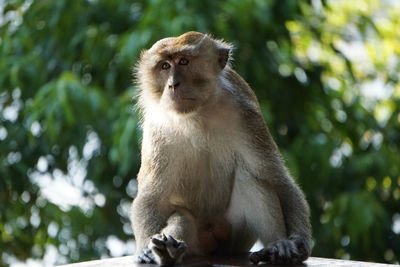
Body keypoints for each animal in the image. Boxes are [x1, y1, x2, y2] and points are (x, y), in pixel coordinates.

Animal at [131, 31, 312, 266]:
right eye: (164, 66)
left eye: (184, 62)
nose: (173, 85)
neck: (198, 115)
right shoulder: (157, 128)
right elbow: (152, 195)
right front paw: (147, 248)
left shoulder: (245, 115)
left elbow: (276, 178)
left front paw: (298, 241)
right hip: (196, 243)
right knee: (182, 218)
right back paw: (167, 252)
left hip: (235, 236)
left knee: (251, 180)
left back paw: (277, 247)